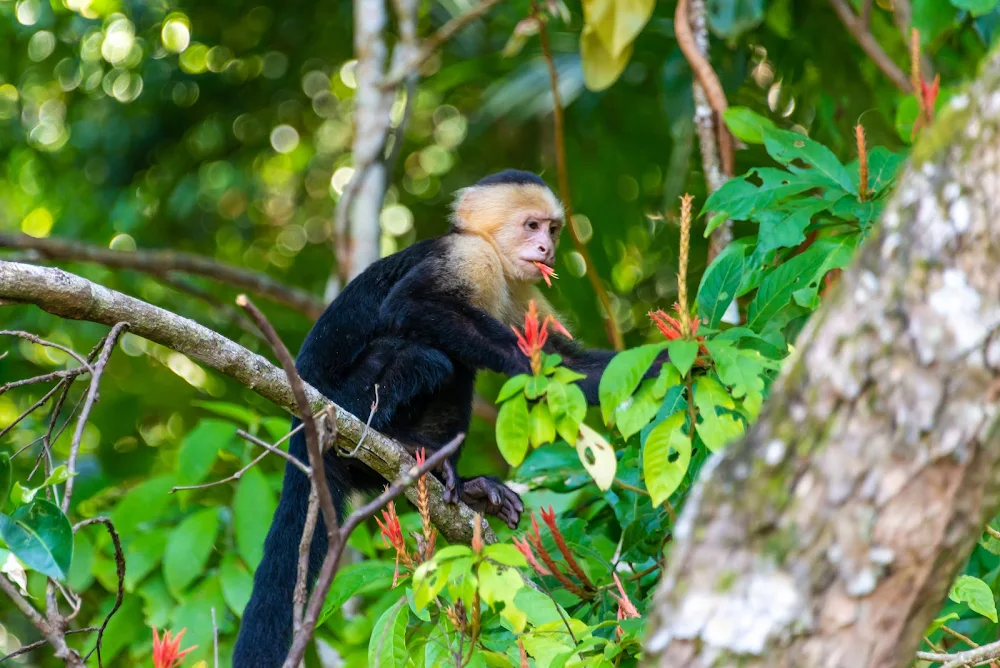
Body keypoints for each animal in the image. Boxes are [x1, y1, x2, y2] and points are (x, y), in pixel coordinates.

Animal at [236, 170, 616, 664]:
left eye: (552, 230)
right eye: (531, 226)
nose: (546, 249)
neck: (494, 254)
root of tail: (302, 433)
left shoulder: (522, 289)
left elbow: (577, 368)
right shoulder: (468, 257)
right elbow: (412, 305)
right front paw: (525, 364)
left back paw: (462, 482)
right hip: (345, 402)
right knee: (427, 354)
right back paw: (401, 443)